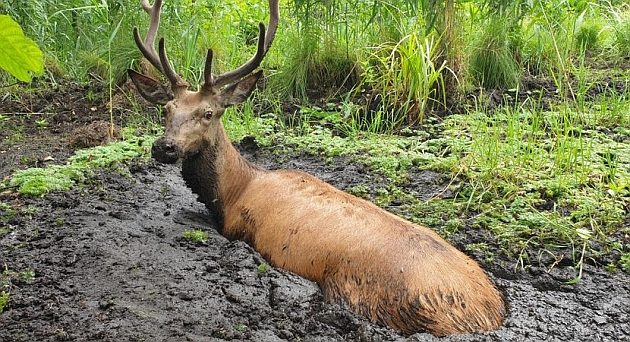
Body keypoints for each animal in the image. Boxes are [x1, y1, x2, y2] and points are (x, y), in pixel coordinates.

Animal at [128, 0, 508, 336]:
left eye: (208, 113)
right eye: (167, 109)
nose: (164, 147)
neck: (234, 191)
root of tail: (487, 312)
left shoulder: (241, 229)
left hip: (361, 291)